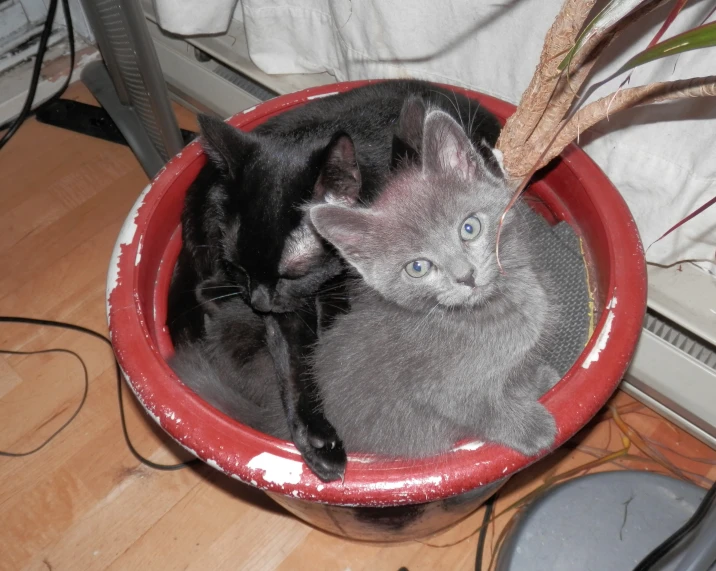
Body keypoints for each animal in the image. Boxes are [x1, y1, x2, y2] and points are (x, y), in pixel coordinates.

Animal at [310, 107, 560, 458]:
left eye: (470, 227)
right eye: (418, 267)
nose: (465, 276)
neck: (487, 310)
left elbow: (515, 375)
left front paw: (536, 381)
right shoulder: (440, 391)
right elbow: (480, 410)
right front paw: (531, 427)